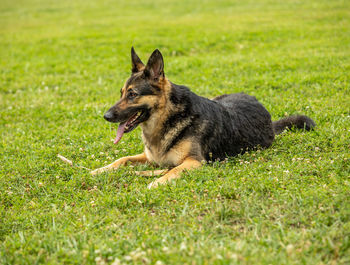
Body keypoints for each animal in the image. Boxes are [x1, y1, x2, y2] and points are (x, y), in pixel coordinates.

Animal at [91, 47, 316, 188]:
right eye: (121, 93)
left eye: (132, 94)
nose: (106, 116)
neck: (168, 117)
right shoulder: (149, 157)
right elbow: (122, 159)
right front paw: (100, 170)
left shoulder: (195, 162)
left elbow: (172, 171)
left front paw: (156, 182)